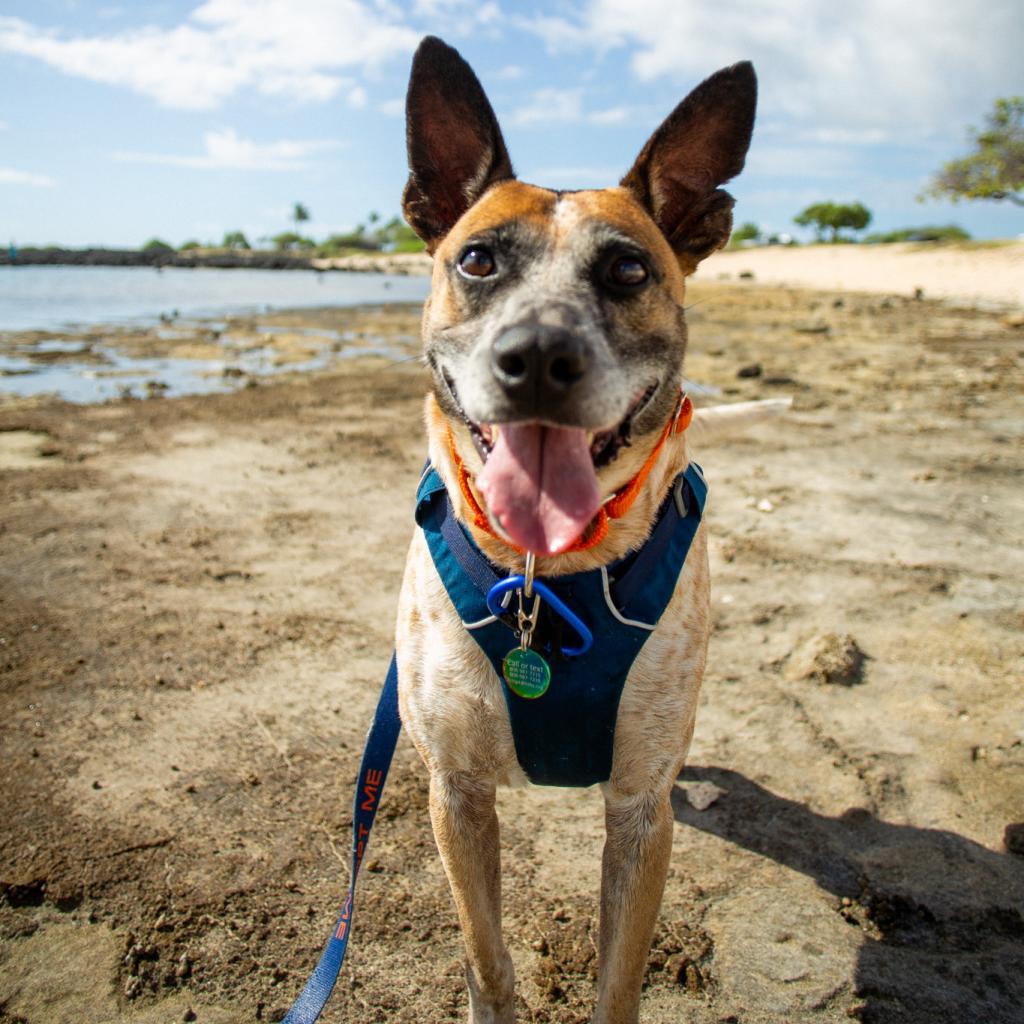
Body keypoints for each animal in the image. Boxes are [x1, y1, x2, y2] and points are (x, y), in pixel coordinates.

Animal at [395, 36, 757, 1024]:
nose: (538, 357)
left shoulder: (639, 812)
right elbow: (487, 960)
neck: (546, 575)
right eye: (478, 260)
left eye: (628, 271)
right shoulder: (456, 794)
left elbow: (618, 978)